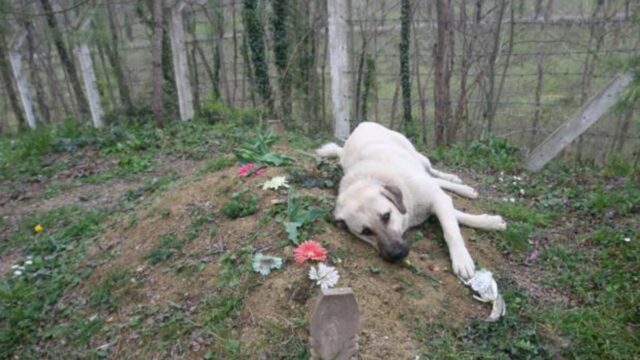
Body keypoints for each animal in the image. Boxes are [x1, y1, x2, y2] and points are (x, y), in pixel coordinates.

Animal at [318, 122, 508, 280]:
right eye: (365, 232)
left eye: (386, 216)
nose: (396, 254)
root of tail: (361, 125)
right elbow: (455, 215)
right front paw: (490, 222)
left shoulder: (437, 199)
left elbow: (451, 230)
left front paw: (462, 258)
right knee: (434, 179)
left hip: (419, 157)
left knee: (434, 173)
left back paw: (458, 183)